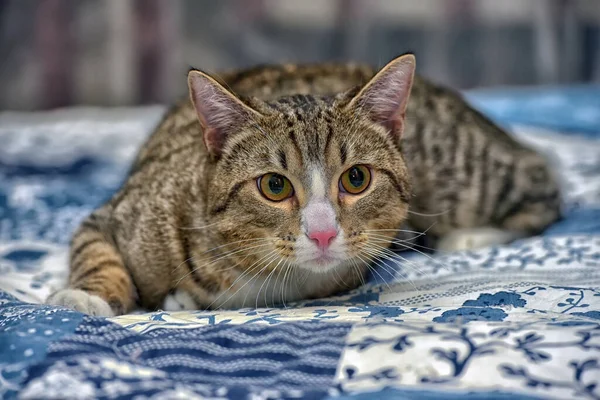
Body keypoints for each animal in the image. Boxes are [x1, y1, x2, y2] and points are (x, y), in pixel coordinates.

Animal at [47, 54, 564, 316]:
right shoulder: (118, 215)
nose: (322, 232)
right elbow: (94, 249)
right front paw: (86, 295)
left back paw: (473, 235)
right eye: (274, 186)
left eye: (356, 178)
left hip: (465, 172)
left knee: (542, 183)